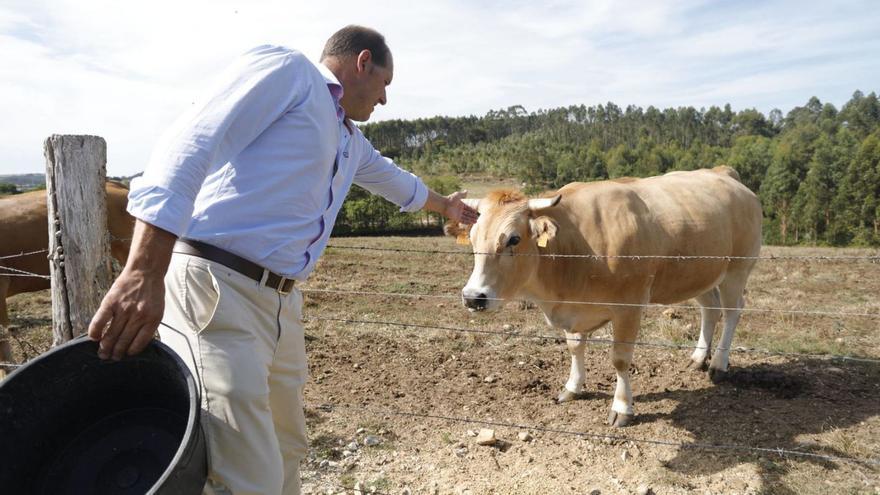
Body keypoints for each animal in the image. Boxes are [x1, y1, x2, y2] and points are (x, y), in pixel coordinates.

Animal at [454, 167, 764, 426]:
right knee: (710, 310)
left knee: (733, 311)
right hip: (699, 275)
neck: (575, 247)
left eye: (514, 239)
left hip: (737, 270)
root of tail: (724, 172)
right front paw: (573, 387)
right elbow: (575, 348)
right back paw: (698, 358)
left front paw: (622, 407)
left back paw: (718, 364)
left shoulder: (629, 307)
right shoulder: (575, 309)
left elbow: (620, 360)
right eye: (473, 237)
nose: (472, 297)